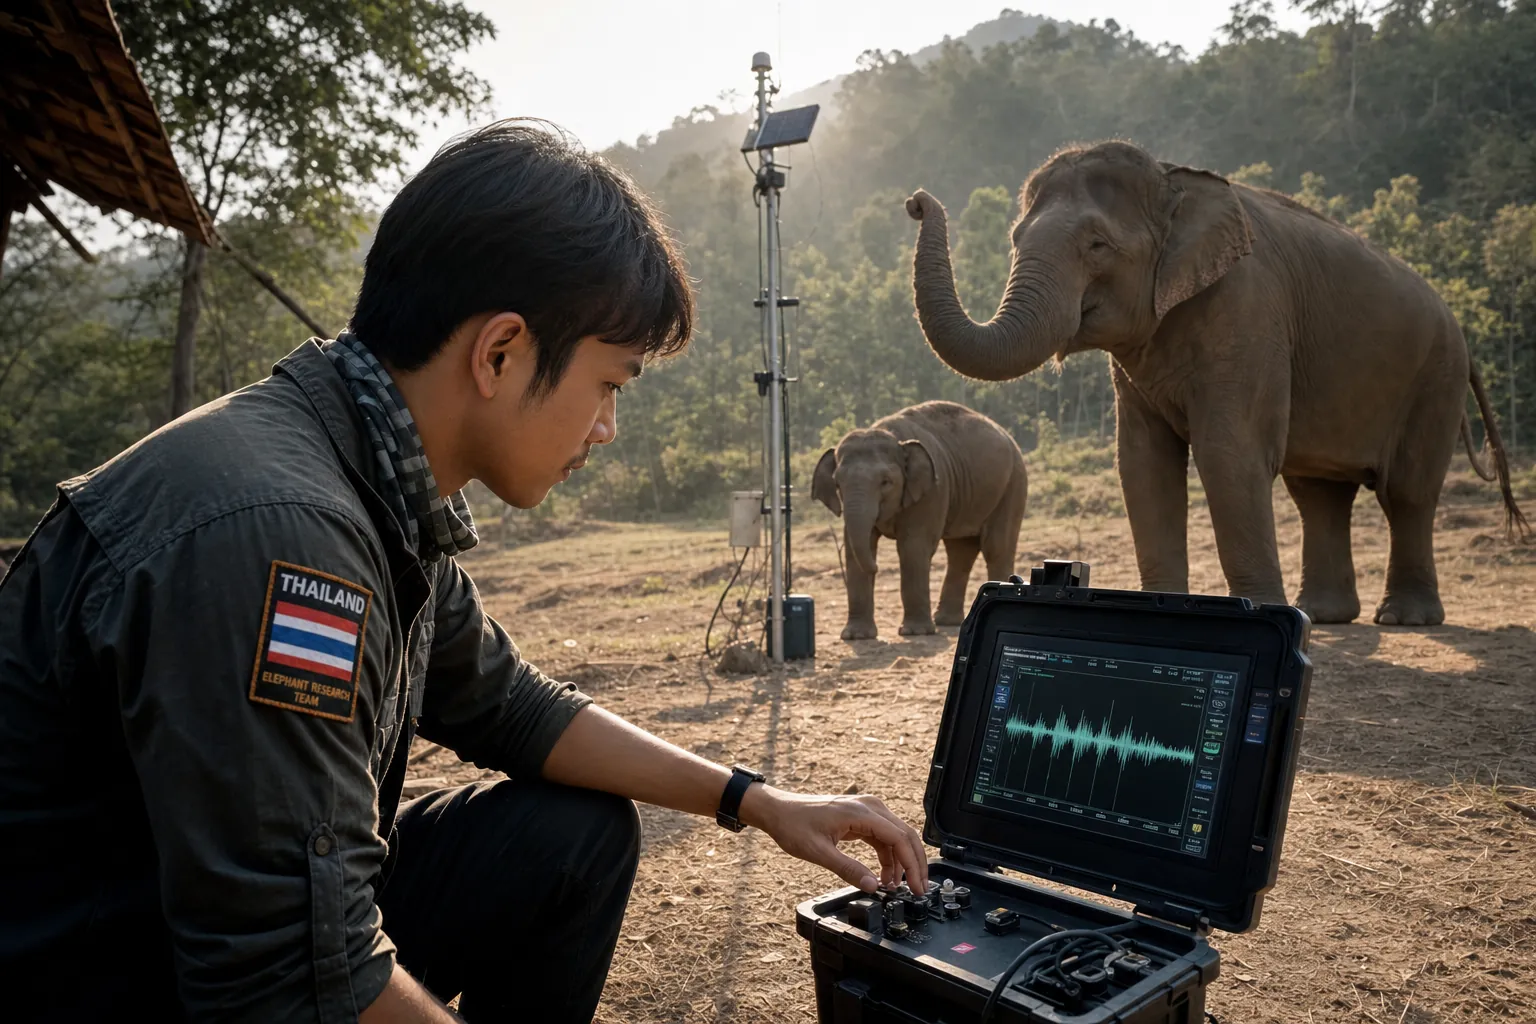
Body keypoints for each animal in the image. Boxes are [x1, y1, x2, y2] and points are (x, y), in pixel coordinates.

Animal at [812, 401, 1028, 640]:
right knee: (960, 550)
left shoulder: (932, 490)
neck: (894, 438)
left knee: (996, 546)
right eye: (837, 484)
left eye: (886, 482)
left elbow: (913, 546)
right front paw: (856, 636)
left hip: (1013, 482)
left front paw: (915, 632)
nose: (877, 568)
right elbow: (854, 549)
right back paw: (947, 621)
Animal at [905, 140, 1525, 626]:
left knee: (1407, 491)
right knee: (1319, 494)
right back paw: (1325, 615)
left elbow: (1230, 453)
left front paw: (1257, 610)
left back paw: (1402, 618)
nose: (915, 201)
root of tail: (1457, 323)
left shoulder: (1249, 309)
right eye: (1016, 239)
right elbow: (1143, 464)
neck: (1173, 179)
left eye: (1098, 245)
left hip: (1435, 378)